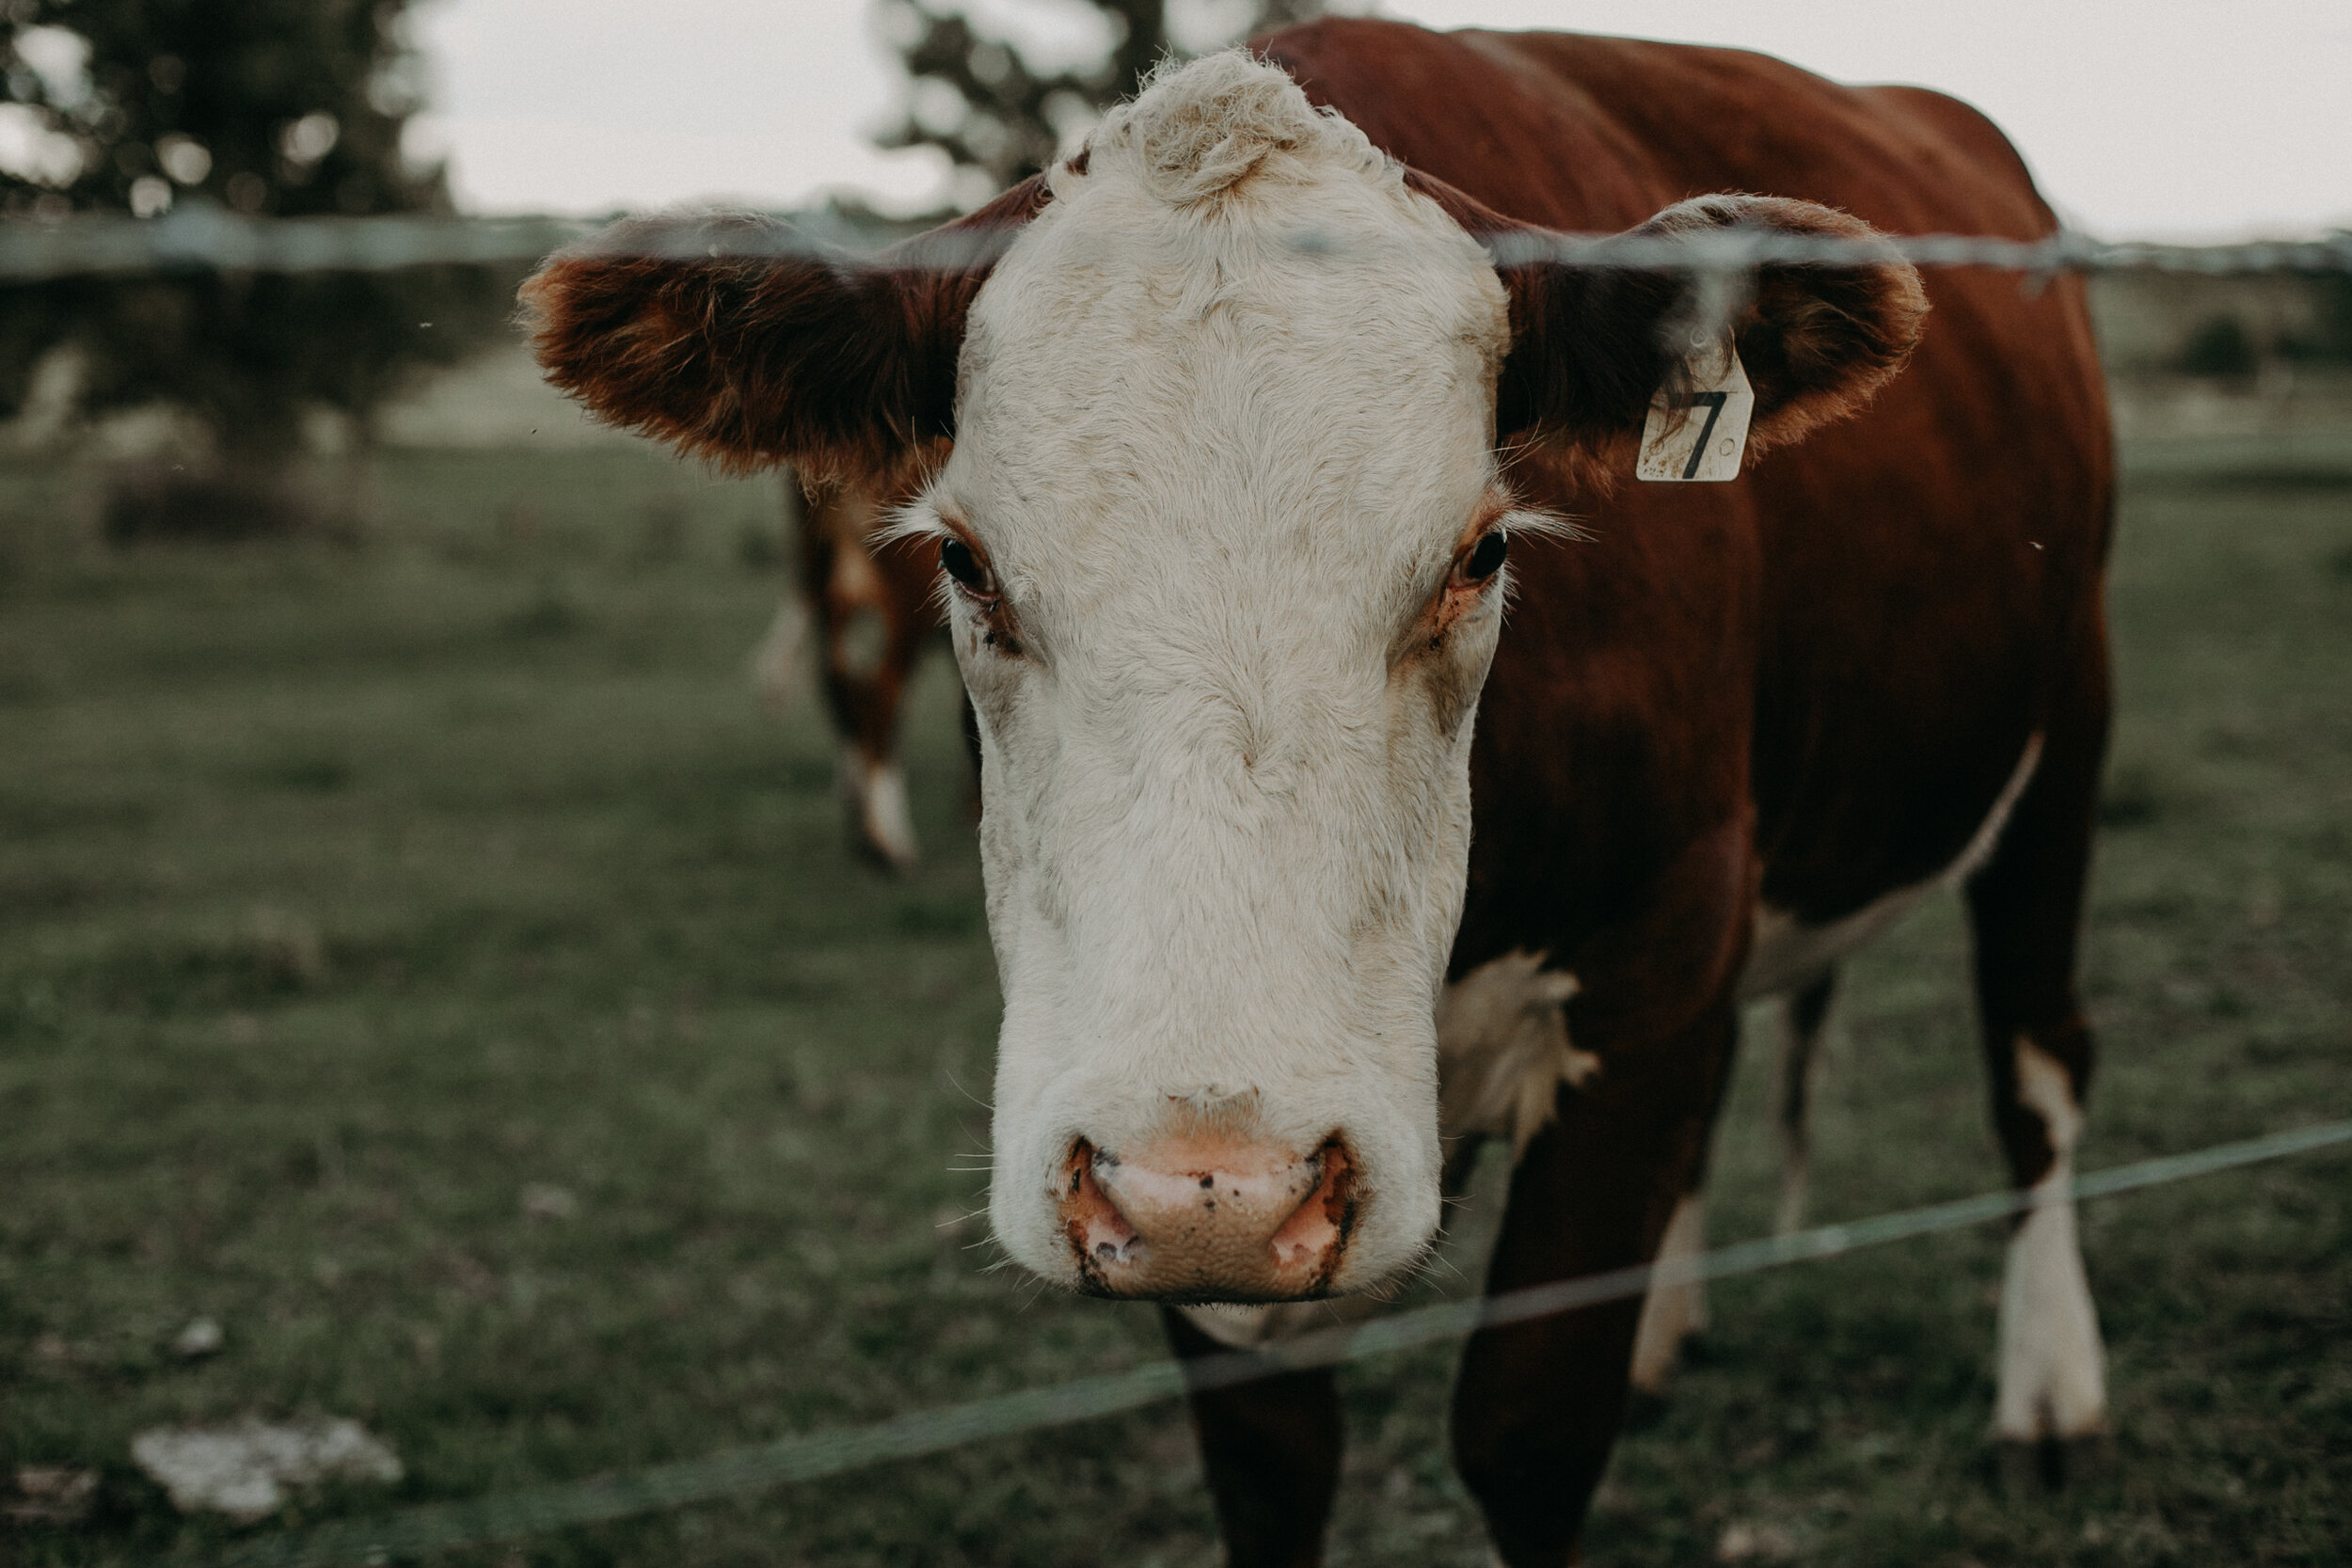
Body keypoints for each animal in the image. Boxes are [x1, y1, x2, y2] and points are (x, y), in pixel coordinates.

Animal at [519, 18, 2117, 1560]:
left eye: (1483, 551)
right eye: (965, 562)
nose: (1212, 1181)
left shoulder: (1655, 959)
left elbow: (1530, 1430)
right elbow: (1273, 1464)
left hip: (2066, 729)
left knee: (2036, 1068)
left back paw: (2051, 1391)